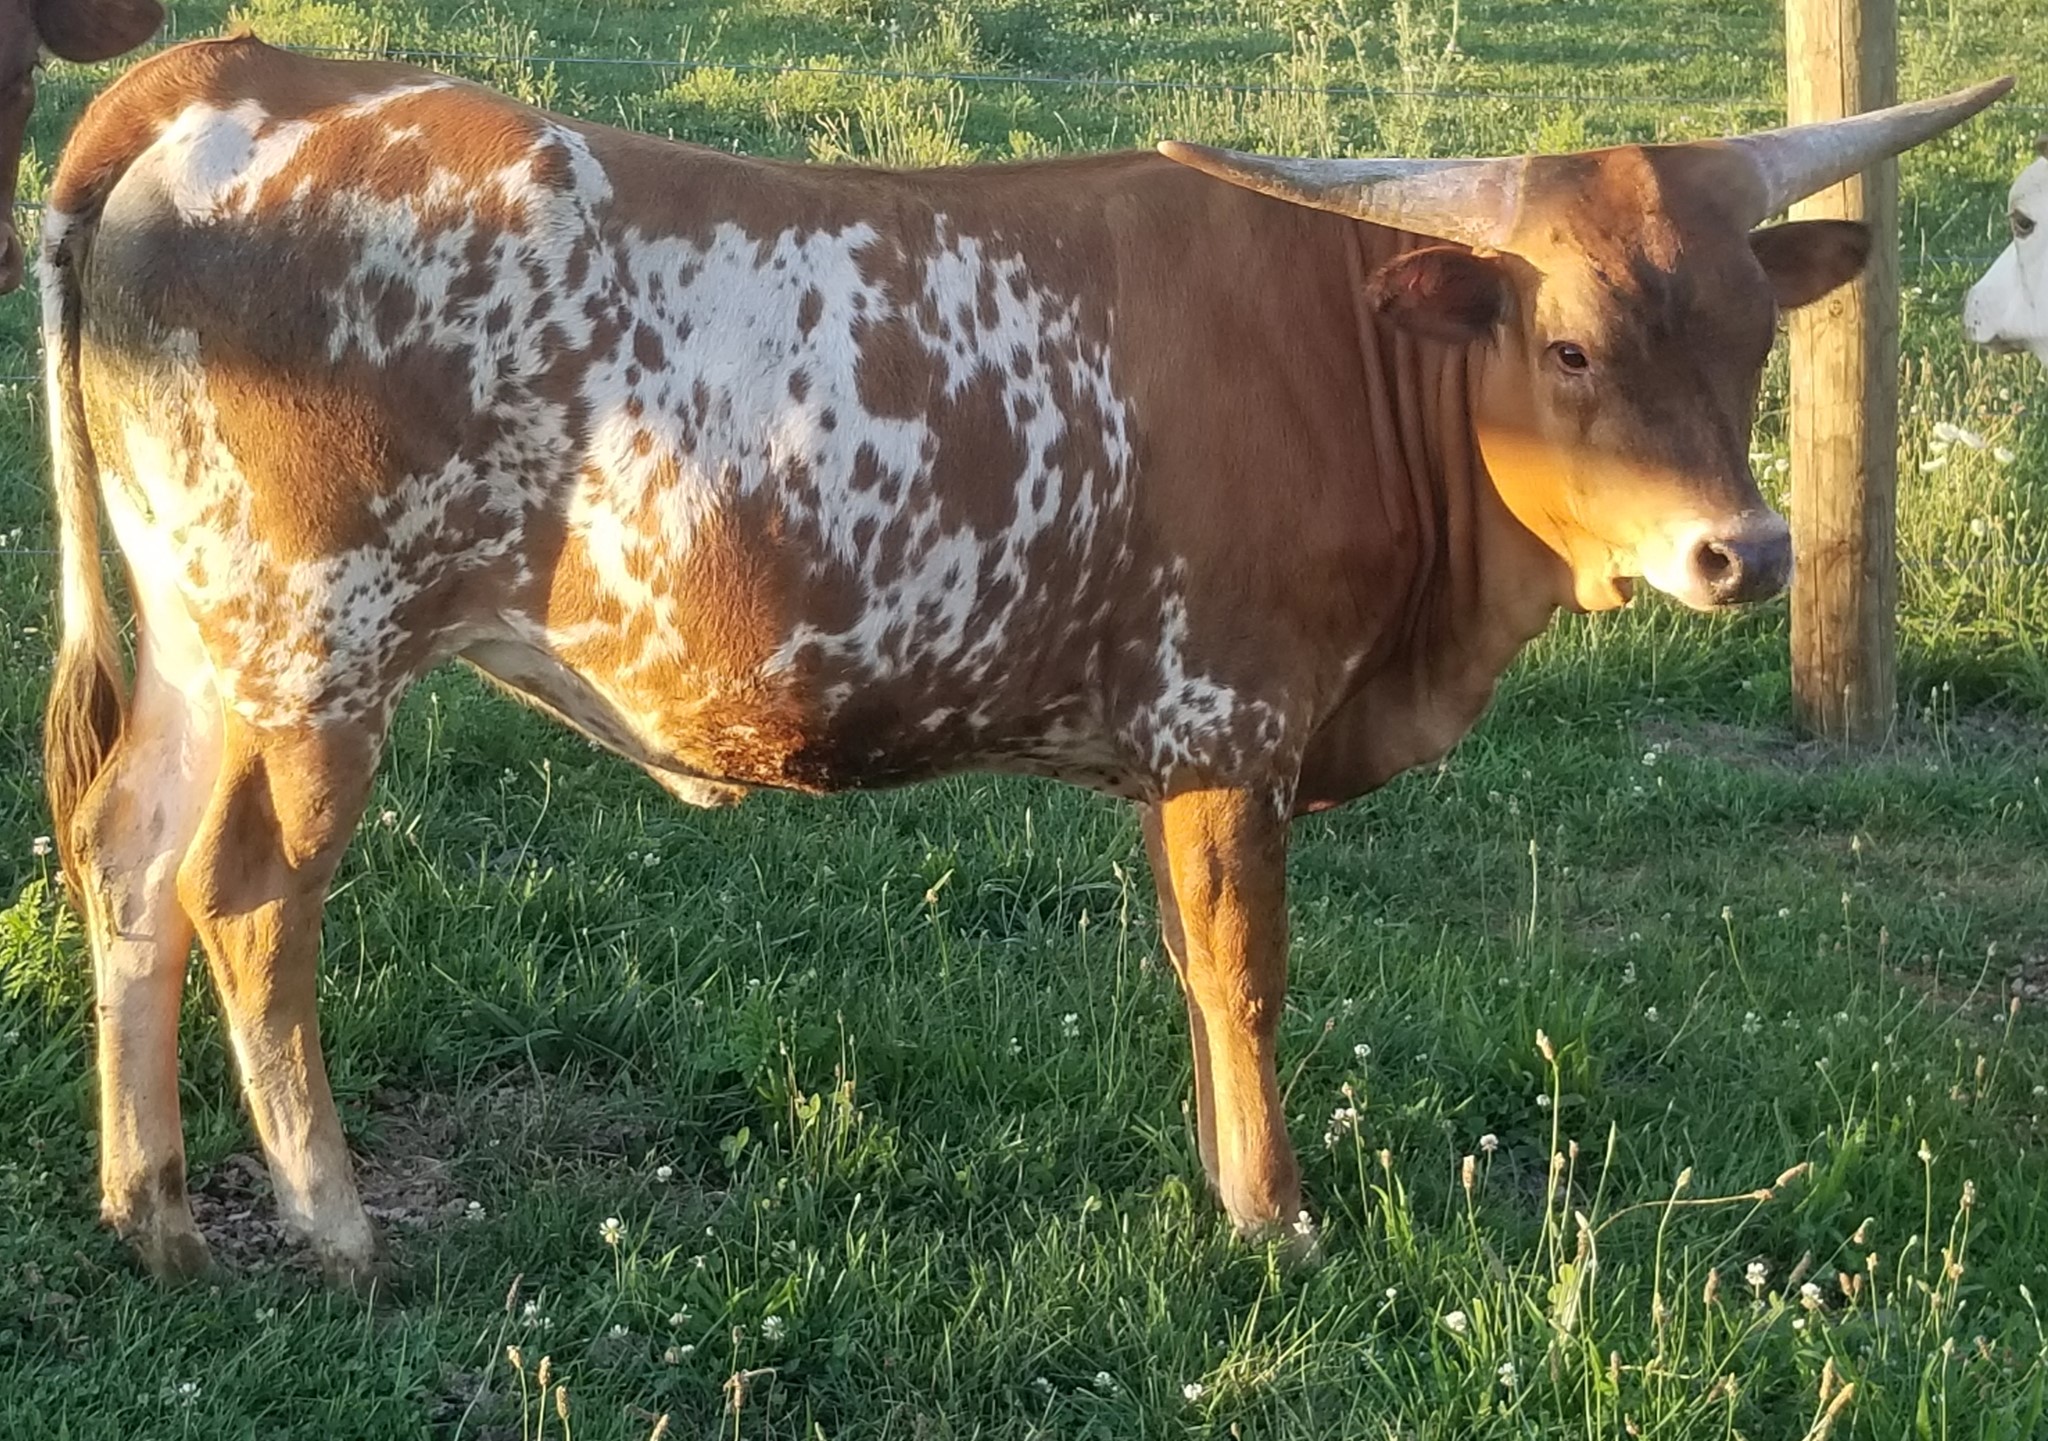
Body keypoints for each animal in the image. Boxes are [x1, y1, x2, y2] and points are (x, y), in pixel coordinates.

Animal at [39, 34, 2008, 1286]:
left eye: (1751, 336)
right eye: (1575, 345)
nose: (1744, 553)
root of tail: (236, 72)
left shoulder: (1176, 744)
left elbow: (1190, 970)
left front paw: (1225, 1181)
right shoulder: (1231, 715)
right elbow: (1246, 976)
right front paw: (1273, 1219)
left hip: (208, 643)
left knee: (128, 857)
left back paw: (155, 1214)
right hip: (321, 651)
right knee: (249, 902)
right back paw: (334, 1226)